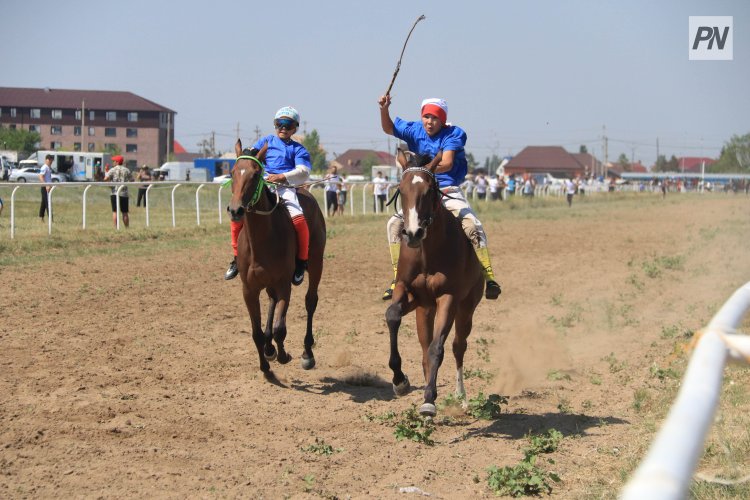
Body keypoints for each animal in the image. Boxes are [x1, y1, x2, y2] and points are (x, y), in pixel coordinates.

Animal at [226, 139, 326, 374]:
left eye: (255, 174)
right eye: (233, 172)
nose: (236, 210)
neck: (262, 240)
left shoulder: (283, 284)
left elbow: (282, 327)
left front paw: (282, 355)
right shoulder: (249, 289)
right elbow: (256, 332)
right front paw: (265, 363)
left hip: (316, 262)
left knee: (310, 301)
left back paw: (307, 353)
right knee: (271, 300)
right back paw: (269, 346)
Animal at [388, 150, 488, 416]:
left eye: (429, 190)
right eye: (401, 190)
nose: (413, 233)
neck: (427, 254)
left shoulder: (448, 298)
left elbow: (437, 348)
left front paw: (429, 401)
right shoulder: (407, 290)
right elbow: (392, 316)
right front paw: (400, 380)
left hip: (466, 307)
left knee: (457, 346)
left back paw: (460, 396)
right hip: (424, 308)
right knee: (424, 348)